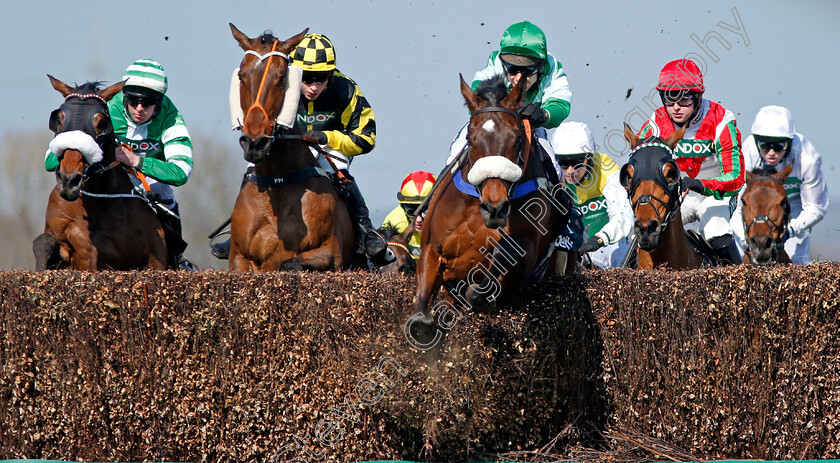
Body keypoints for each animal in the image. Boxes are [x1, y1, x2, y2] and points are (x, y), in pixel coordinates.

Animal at [33, 76, 168, 272]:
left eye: (102, 123)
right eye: (58, 119)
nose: (68, 180)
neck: (100, 199)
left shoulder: (155, 257)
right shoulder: (76, 246)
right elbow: (45, 240)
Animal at [225, 23, 352, 272]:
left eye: (282, 79)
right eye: (242, 76)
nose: (255, 142)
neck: (277, 182)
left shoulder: (331, 253)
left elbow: (289, 263)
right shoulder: (238, 256)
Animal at [410, 74, 568, 330]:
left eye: (517, 139)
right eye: (470, 139)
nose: (495, 208)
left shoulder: (527, 261)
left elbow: (505, 255)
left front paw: (479, 292)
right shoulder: (431, 249)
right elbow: (421, 313)